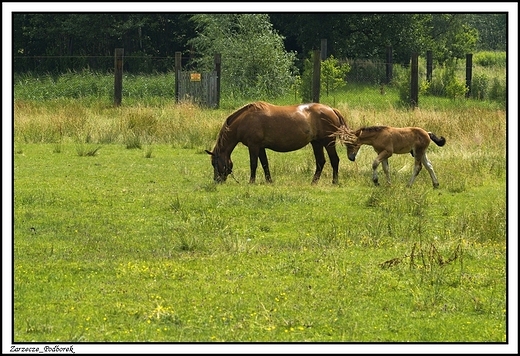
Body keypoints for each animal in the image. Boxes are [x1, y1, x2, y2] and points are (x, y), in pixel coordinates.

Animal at [205, 100, 348, 184]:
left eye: (214, 163)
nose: (217, 181)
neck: (245, 120)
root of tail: (331, 109)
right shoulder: (260, 147)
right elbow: (264, 164)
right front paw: (269, 181)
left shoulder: (253, 146)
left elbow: (253, 164)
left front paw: (251, 182)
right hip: (316, 143)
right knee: (320, 162)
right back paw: (314, 182)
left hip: (328, 142)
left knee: (334, 160)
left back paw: (334, 182)